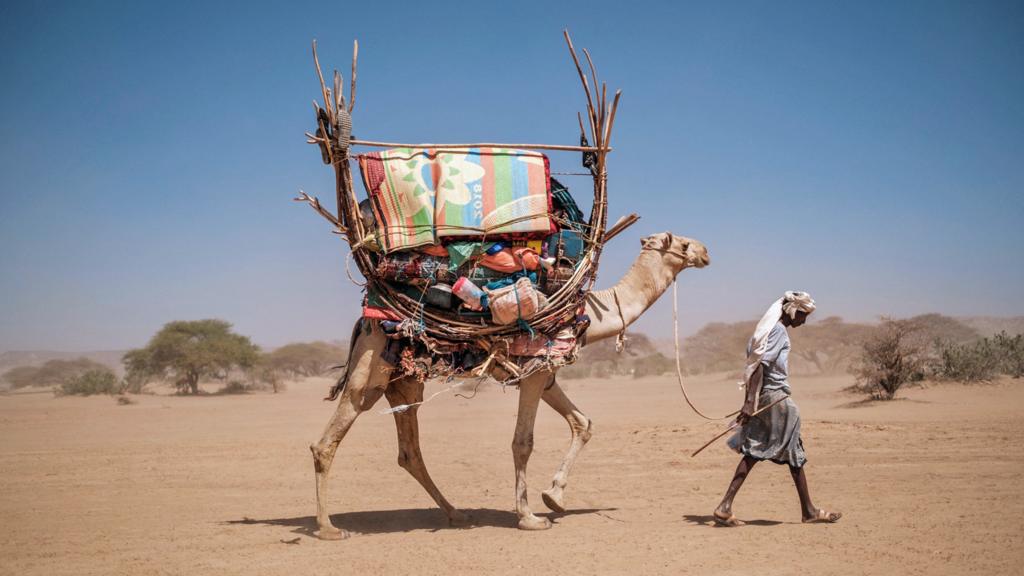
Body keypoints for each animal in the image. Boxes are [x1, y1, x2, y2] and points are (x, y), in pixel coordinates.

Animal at [311, 230, 708, 537]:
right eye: (683, 243)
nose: (705, 252)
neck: (586, 315)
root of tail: (365, 321)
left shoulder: (544, 373)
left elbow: (583, 423)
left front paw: (554, 497)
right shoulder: (534, 373)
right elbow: (523, 442)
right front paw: (530, 517)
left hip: (404, 383)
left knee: (409, 452)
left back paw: (456, 513)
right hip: (371, 370)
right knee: (329, 438)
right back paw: (329, 528)